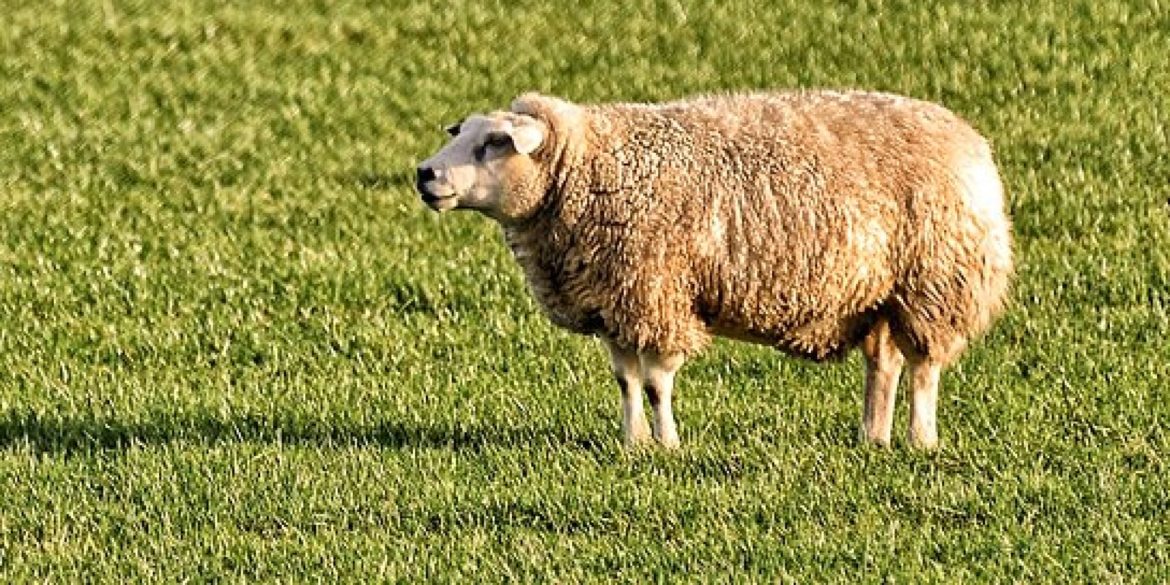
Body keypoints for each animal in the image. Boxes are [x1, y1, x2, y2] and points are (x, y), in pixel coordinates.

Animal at [415, 90, 1013, 450]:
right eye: (461, 134)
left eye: (494, 143)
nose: (424, 173)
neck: (587, 168)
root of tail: (969, 138)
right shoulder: (617, 303)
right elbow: (626, 380)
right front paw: (633, 443)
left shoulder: (657, 295)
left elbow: (656, 382)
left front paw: (667, 445)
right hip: (879, 295)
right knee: (884, 366)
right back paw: (873, 436)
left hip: (936, 281)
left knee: (924, 368)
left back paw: (920, 440)